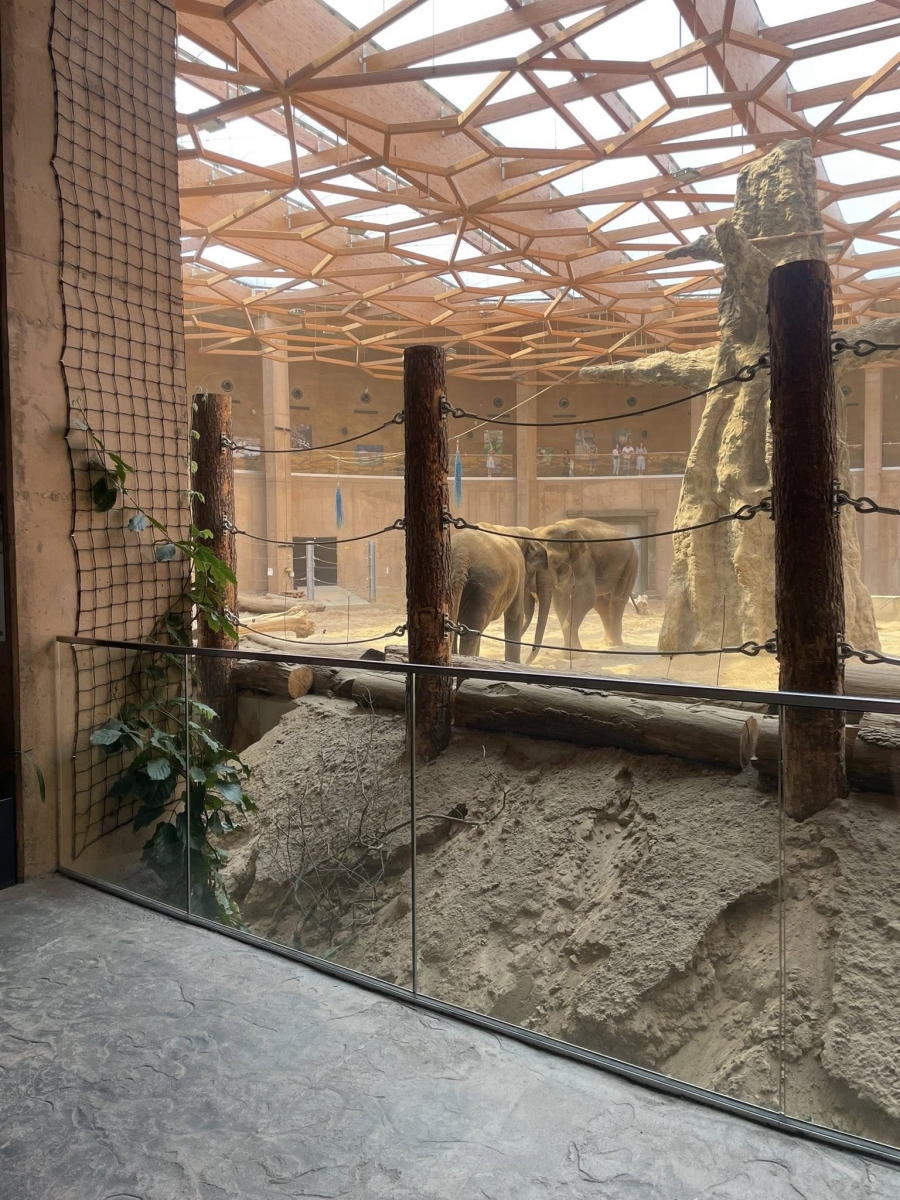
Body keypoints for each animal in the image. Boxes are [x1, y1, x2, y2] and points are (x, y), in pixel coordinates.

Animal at [450, 524, 548, 662]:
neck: (514, 530)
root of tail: (461, 556)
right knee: (473, 626)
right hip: (487, 585)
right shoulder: (520, 570)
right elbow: (515, 615)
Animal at [527, 518, 639, 663]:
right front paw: (569, 654)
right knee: (600, 604)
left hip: (631, 563)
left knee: (617, 600)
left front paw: (574, 656)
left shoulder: (585, 561)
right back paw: (607, 641)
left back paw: (614, 643)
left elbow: (584, 598)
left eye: (556, 561)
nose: (526, 661)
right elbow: (560, 602)